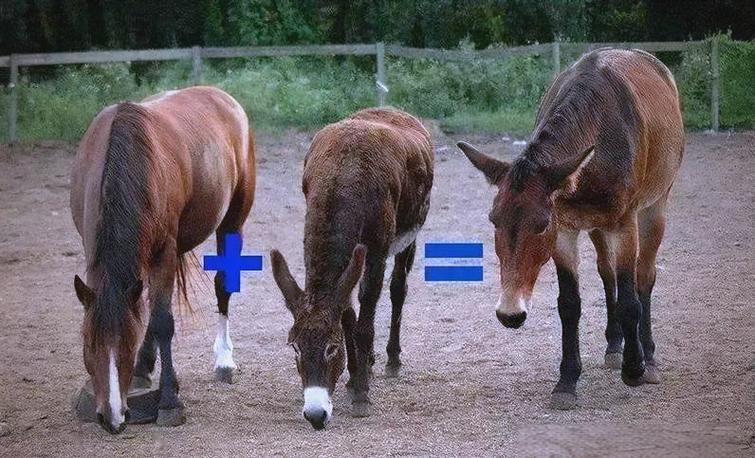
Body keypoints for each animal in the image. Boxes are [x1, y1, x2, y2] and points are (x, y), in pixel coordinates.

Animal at [70, 86, 255, 433]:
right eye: (88, 344)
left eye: (126, 345)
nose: (112, 418)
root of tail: (222, 97)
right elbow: (149, 313)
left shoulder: (163, 252)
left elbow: (162, 321)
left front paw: (169, 401)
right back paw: (145, 367)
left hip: (231, 221)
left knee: (222, 284)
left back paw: (224, 360)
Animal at [270, 107, 434, 429]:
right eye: (295, 347)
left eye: (332, 348)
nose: (315, 415)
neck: (342, 175)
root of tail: (394, 111)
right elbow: (347, 314)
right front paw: (355, 376)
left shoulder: (377, 252)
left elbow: (365, 320)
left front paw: (361, 395)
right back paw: (367, 365)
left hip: (409, 234)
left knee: (398, 289)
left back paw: (391, 360)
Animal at [457, 48, 684, 409]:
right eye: (494, 220)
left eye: (540, 225)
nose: (510, 314)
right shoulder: (565, 230)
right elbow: (569, 304)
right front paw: (566, 381)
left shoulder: (624, 224)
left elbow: (630, 299)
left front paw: (634, 368)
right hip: (597, 226)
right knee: (607, 273)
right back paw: (613, 345)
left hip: (654, 208)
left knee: (644, 277)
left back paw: (648, 357)